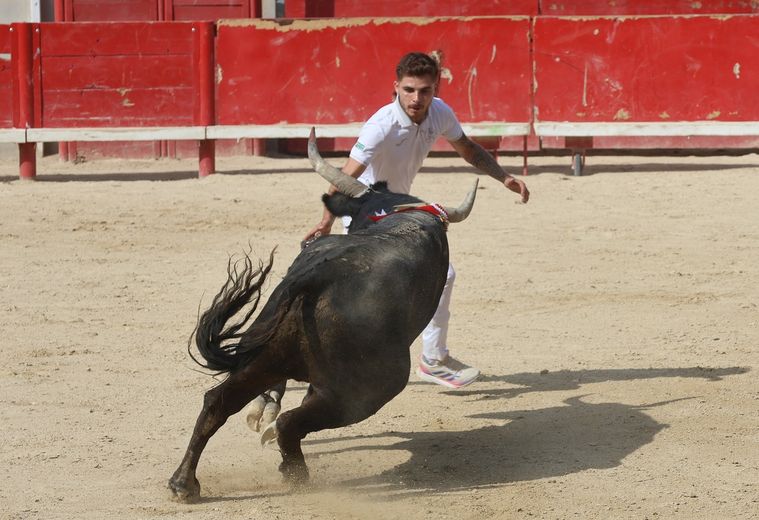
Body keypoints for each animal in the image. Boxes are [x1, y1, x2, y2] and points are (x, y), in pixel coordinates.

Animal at [169, 128, 478, 502]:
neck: (394, 214)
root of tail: (317, 276)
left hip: (262, 355)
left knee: (218, 402)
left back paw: (184, 483)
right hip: (371, 390)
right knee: (291, 421)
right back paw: (296, 474)